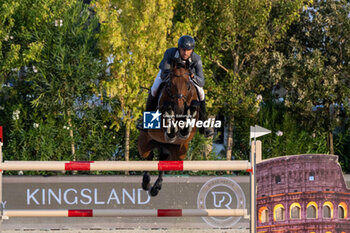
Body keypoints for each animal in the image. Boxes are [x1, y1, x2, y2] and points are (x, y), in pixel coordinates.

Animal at [139, 60, 200, 197]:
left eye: (188, 85)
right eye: (170, 84)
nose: (179, 109)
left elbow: (191, 114)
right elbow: (167, 113)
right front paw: (171, 128)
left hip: (178, 154)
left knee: (164, 162)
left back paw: (156, 187)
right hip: (144, 145)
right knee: (148, 157)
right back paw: (146, 183)